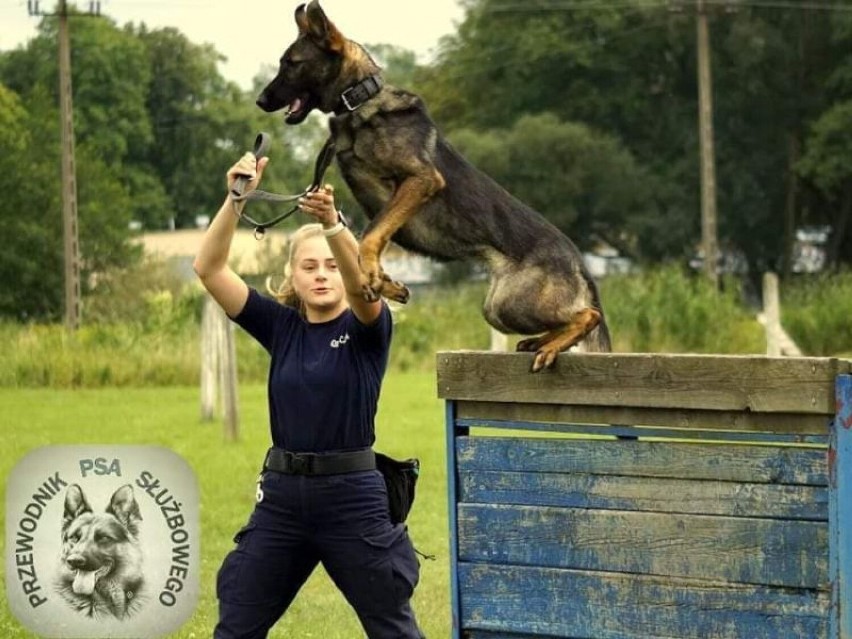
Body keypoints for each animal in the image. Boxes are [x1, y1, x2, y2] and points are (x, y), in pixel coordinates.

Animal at [256, 1, 608, 370]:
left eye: (292, 63)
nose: (260, 101)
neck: (359, 100)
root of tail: (578, 260)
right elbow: (364, 242)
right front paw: (385, 283)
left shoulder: (421, 180)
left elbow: (370, 237)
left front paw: (375, 277)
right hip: (498, 309)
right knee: (573, 317)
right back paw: (540, 342)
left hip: (510, 304)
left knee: (589, 315)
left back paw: (551, 346)